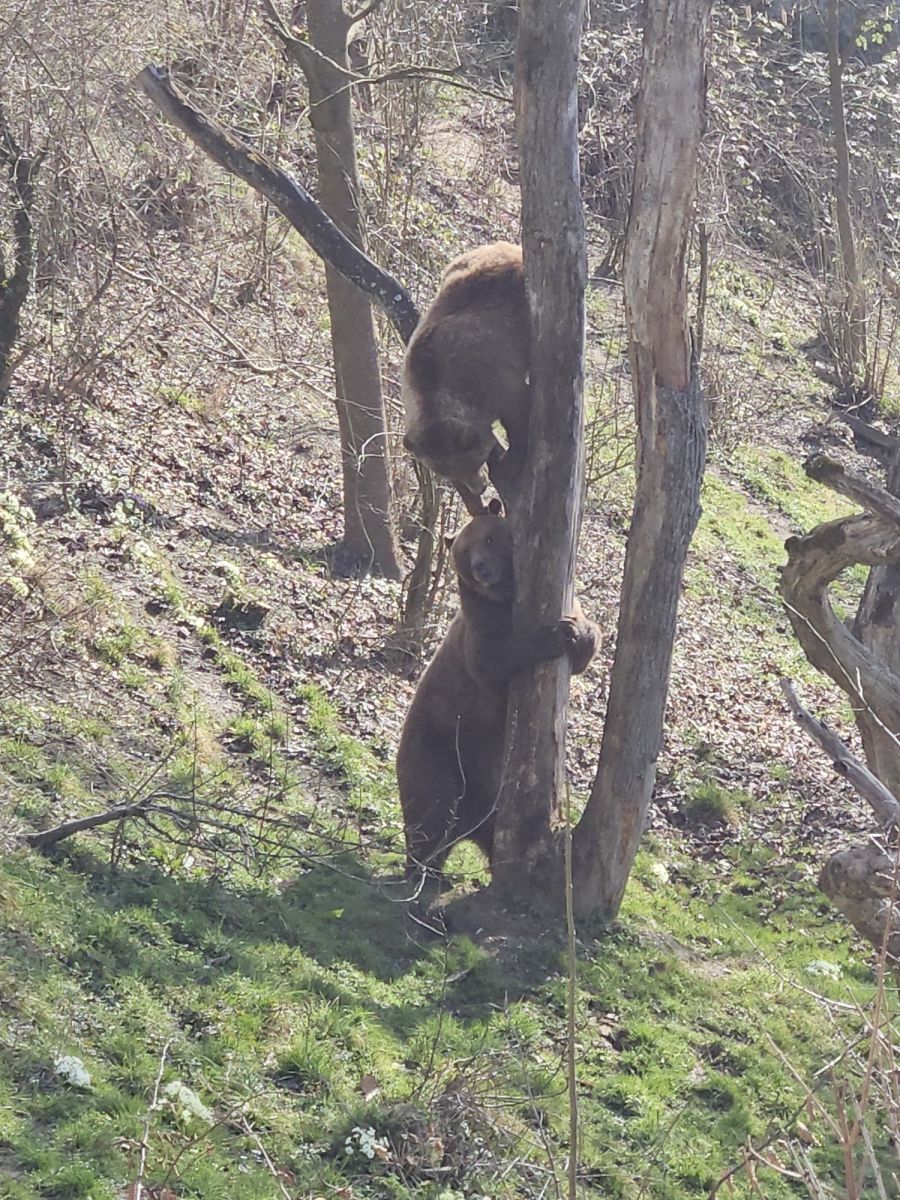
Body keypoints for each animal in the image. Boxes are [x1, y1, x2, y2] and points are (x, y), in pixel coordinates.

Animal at [396, 511, 598, 891]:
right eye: (464, 552)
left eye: (489, 538)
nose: (481, 568)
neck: (506, 599)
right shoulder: (479, 629)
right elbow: (493, 660)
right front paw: (550, 636)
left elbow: (586, 640)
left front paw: (575, 631)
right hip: (438, 748)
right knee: (432, 810)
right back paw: (423, 872)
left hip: (492, 794)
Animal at [401, 242, 528, 512]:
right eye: (449, 473)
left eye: (474, 461)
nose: (478, 487)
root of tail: (507, 245)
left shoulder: (494, 376)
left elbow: (519, 413)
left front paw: (511, 460)